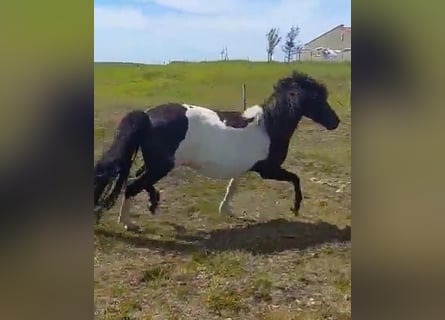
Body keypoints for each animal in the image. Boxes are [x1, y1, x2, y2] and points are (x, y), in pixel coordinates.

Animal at [93, 70, 340, 230]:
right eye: (317, 98)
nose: (335, 122)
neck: (269, 126)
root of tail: (147, 115)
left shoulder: (242, 168)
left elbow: (232, 187)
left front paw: (226, 210)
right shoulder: (267, 169)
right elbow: (296, 179)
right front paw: (296, 208)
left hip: (156, 164)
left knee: (136, 178)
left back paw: (153, 204)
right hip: (161, 166)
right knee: (132, 186)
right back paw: (128, 222)